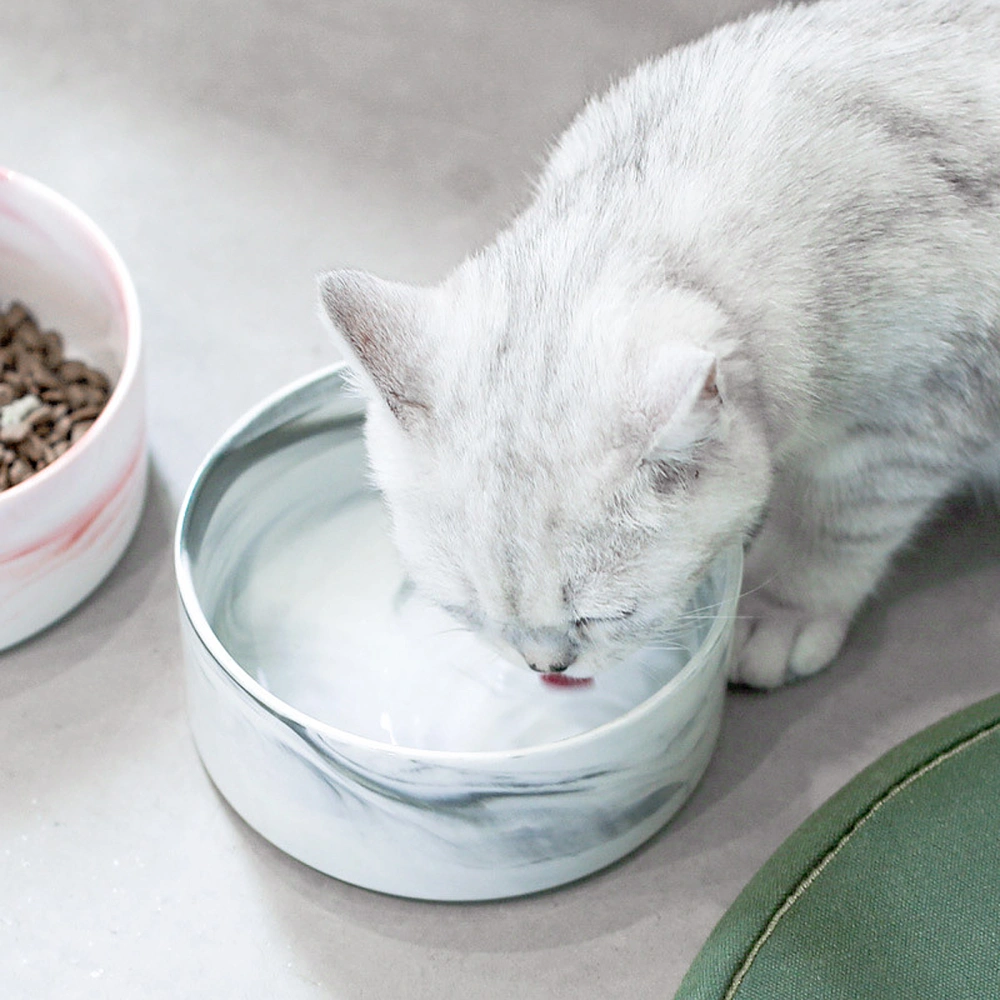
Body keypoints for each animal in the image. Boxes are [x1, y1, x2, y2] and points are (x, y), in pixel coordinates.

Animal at [320, 0, 1000, 688]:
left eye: (605, 615)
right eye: (467, 611)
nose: (546, 666)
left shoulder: (914, 422)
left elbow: (831, 526)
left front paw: (781, 609)